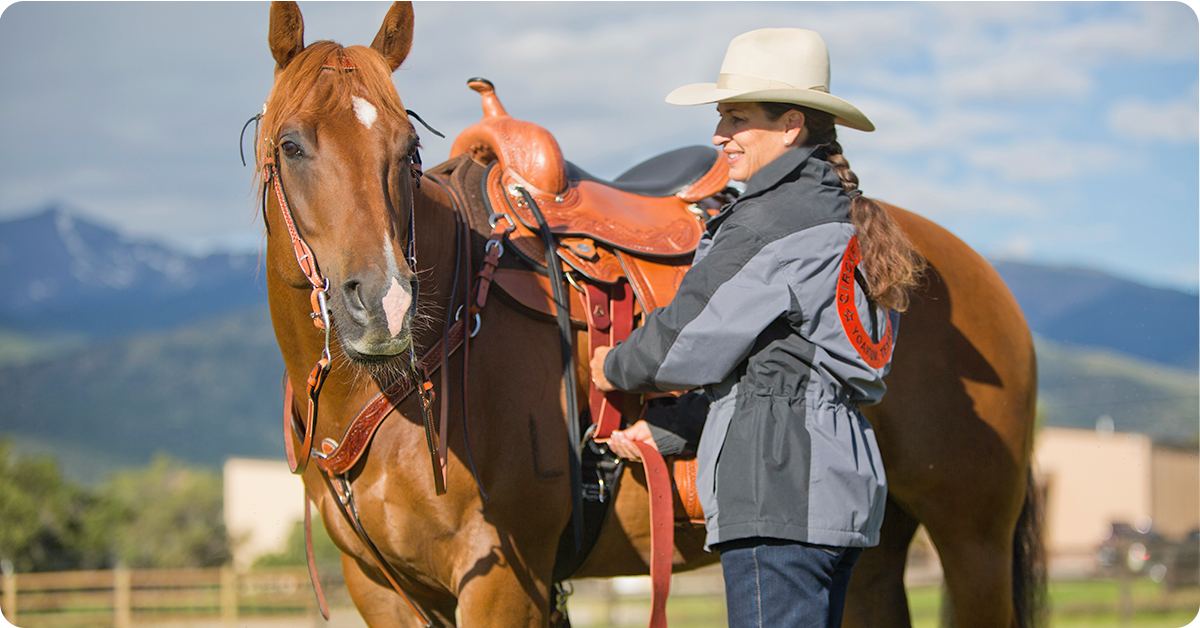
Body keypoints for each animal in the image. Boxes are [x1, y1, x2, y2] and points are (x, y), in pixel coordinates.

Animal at [255, 2, 1041, 624]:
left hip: (972, 541)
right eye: (291, 145)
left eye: (408, 148)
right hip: (872, 551)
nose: (384, 306)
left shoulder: (503, 581)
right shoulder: (384, 590)